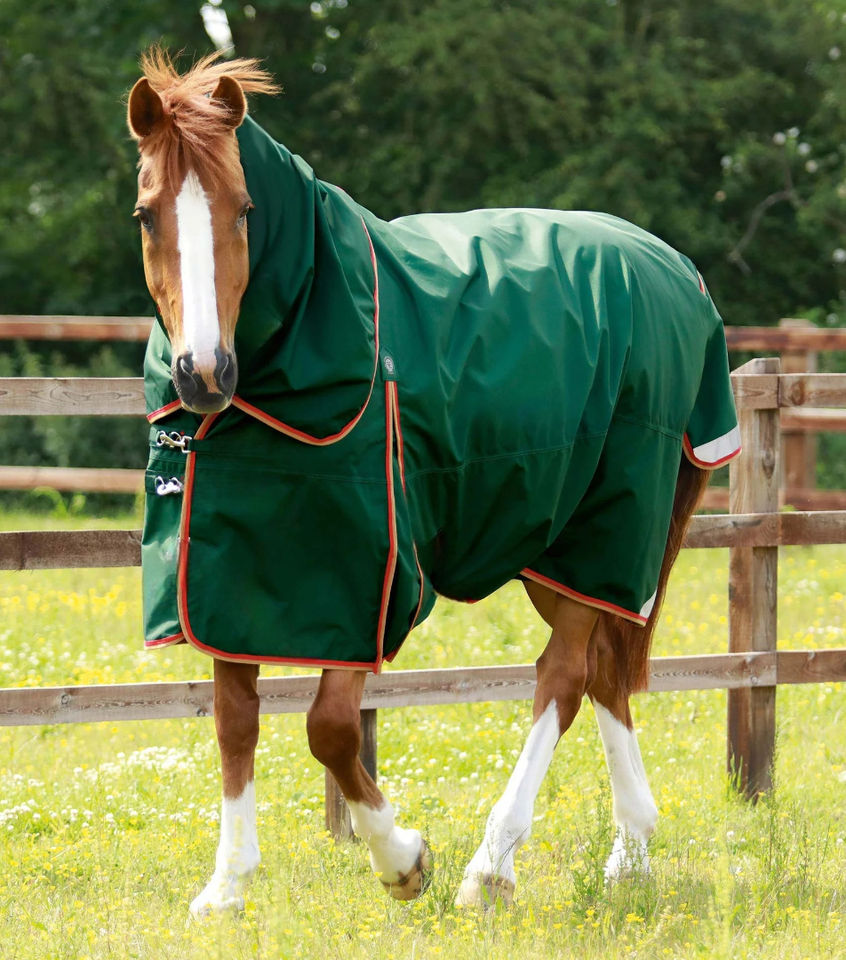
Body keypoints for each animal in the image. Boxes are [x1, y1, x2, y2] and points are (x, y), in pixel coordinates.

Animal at [127, 50, 740, 917]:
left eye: (245, 211)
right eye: (148, 215)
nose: (203, 372)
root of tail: (676, 269)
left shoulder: (366, 579)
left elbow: (330, 730)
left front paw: (403, 859)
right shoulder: (228, 571)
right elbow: (234, 719)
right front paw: (227, 886)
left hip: (609, 523)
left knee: (562, 676)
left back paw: (491, 868)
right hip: (551, 540)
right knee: (604, 672)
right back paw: (631, 854)